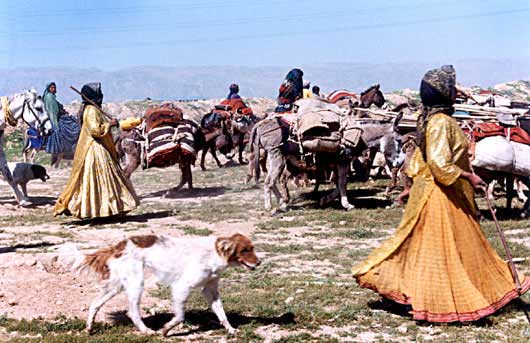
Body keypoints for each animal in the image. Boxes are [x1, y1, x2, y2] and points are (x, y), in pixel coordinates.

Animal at [66, 234, 260, 336]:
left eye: (252, 248)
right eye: (245, 250)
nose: (259, 263)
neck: (214, 254)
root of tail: (118, 246)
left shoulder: (209, 289)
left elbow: (221, 312)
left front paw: (231, 329)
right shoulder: (182, 287)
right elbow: (180, 316)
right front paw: (166, 330)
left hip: (117, 286)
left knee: (94, 304)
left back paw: (89, 328)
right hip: (136, 283)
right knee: (133, 312)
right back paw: (146, 331)